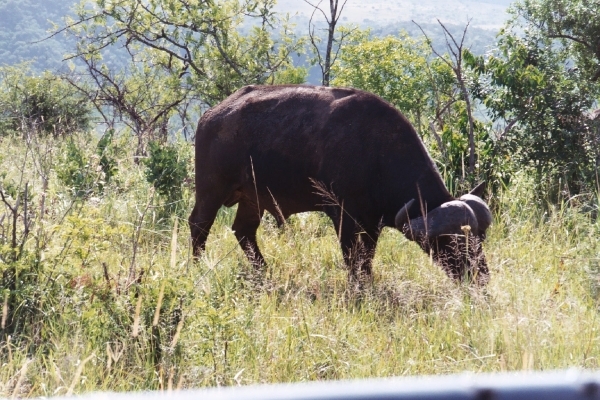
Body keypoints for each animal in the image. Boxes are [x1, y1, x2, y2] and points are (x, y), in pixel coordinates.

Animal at [189, 84, 492, 282]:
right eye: (453, 243)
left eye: (480, 239)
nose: (481, 276)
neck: (377, 154)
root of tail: (211, 116)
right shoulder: (343, 217)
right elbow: (352, 259)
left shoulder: (372, 225)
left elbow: (366, 260)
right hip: (211, 190)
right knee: (199, 226)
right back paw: (196, 268)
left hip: (253, 198)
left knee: (244, 230)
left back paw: (264, 271)